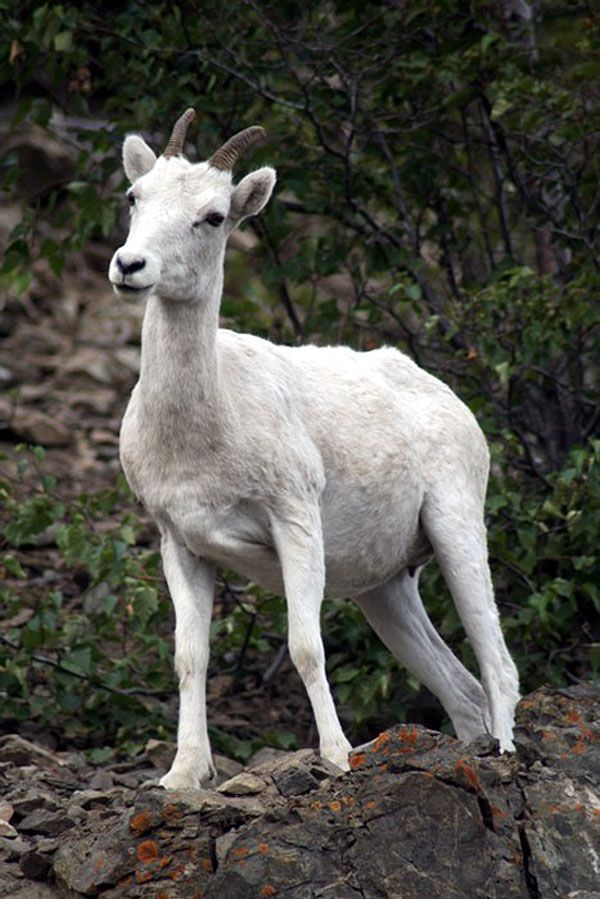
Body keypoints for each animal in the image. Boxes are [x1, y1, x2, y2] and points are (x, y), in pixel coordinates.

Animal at [109, 109, 520, 792]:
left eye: (213, 216)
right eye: (135, 197)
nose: (130, 265)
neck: (208, 425)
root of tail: (448, 400)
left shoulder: (295, 522)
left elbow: (306, 646)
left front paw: (336, 757)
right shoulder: (182, 543)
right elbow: (191, 656)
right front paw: (182, 775)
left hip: (458, 531)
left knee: (499, 667)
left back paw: (508, 755)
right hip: (386, 590)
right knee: (461, 690)